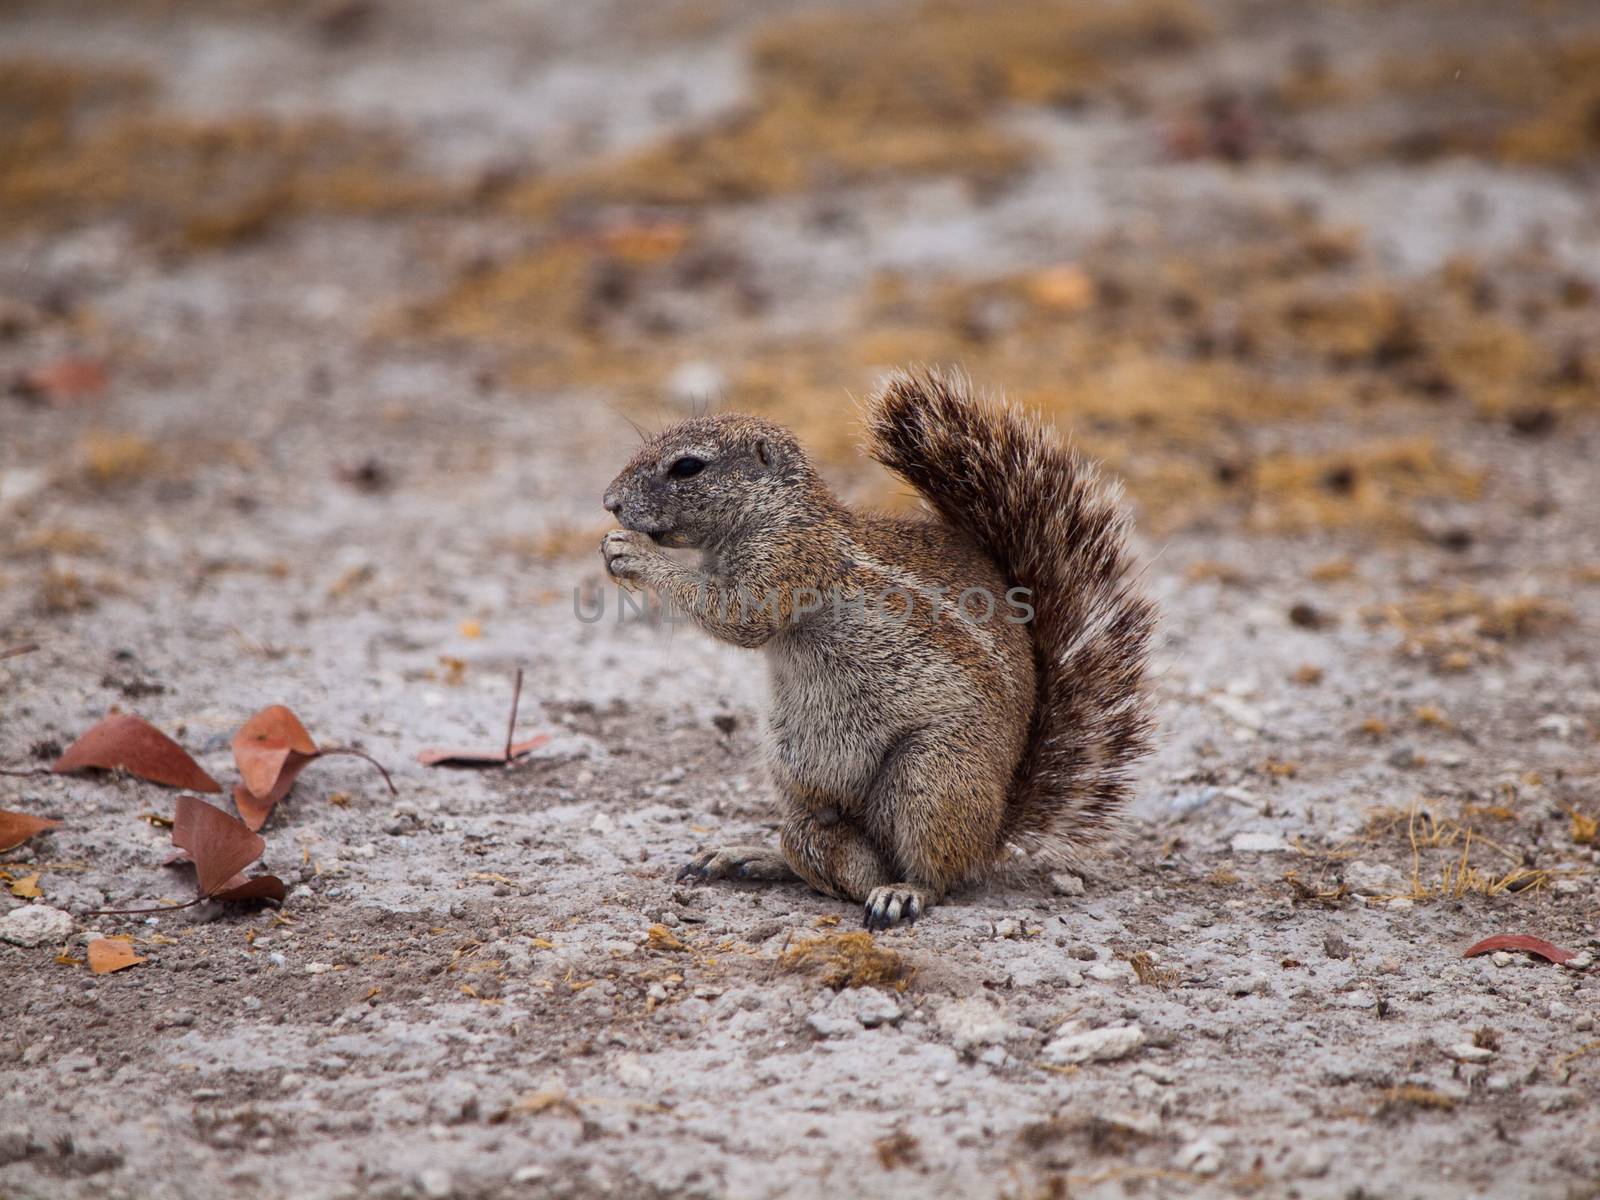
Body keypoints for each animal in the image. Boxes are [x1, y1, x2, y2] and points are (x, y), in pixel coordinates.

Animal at [601, 366, 1152, 928]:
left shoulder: (789, 563)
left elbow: (736, 617)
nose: (610, 503)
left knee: (936, 875)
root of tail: (995, 830)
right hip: (793, 775)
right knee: (824, 856)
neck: (777, 513)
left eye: (687, 467)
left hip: (932, 774)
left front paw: (633, 552)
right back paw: (753, 856)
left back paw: (900, 892)